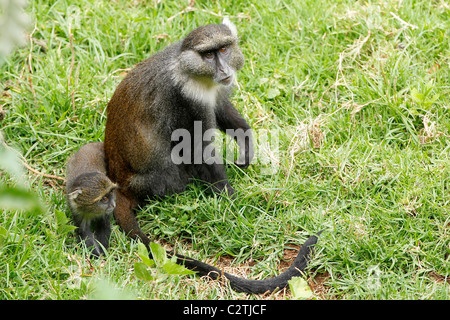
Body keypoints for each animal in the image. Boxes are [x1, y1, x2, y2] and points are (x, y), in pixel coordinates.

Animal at [104, 18, 320, 294]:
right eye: (208, 54)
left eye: (224, 49)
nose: (223, 68)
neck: (193, 72)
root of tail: (119, 184)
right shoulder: (186, 99)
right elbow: (197, 147)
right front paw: (232, 201)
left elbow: (222, 111)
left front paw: (246, 147)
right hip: (160, 180)